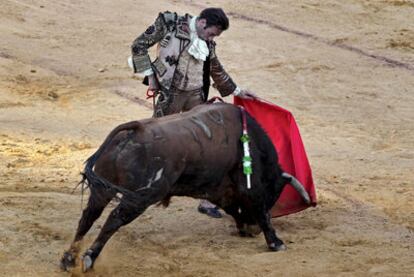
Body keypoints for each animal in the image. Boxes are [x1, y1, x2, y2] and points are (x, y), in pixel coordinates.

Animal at [59, 101, 308, 270]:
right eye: (273, 193)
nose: (252, 230)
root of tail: (136, 130)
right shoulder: (251, 187)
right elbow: (260, 210)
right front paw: (276, 243)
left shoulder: (218, 190)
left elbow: (233, 209)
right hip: (140, 197)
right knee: (113, 220)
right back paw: (89, 258)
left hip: (103, 190)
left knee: (88, 217)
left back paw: (69, 259)